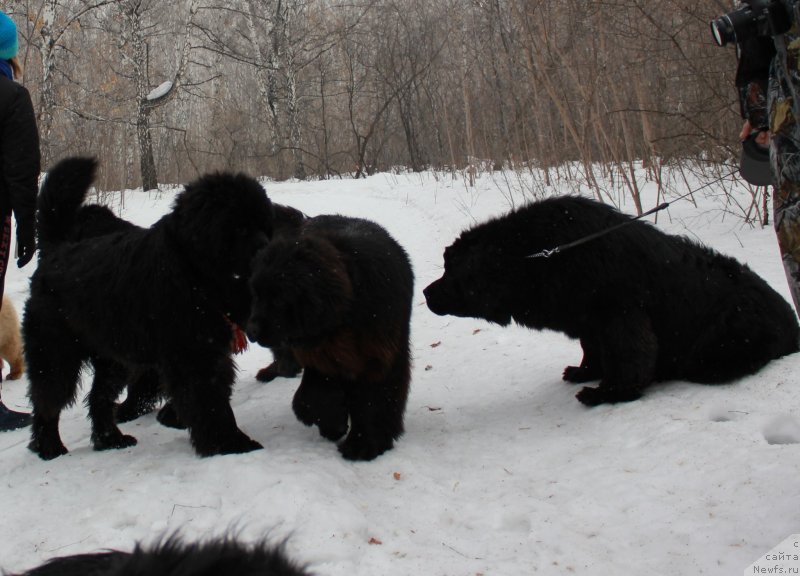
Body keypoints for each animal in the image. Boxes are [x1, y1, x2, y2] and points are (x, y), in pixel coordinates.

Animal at [23, 158, 274, 460]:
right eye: (239, 229)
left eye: (263, 224)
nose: (267, 248)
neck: (192, 271)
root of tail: (55, 251)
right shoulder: (194, 354)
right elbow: (210, 402)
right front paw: (230, 443)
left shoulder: (210, 349)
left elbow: (214, 396)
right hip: (55, 355)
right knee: (47, 401)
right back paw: (49, 447)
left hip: (113, 359)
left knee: (99, 398)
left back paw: (110, 440)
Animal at [248, 214, 412, 462]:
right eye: (256, 295)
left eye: (278, 299)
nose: (251, 331)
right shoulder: (323, 357)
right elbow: (312, 398)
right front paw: (333, 424)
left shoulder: (380, 356)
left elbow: (374, 400)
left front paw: (364, 444)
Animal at [424, 196, 800, 408]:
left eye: (451, 268)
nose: (427, 292)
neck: (534, 257)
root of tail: (791, 322)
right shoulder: (589, 319)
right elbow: (592, 349)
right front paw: (585, 372)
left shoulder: (621, 313)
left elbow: (628, 357)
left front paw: (607, 393)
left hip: (724, 341)